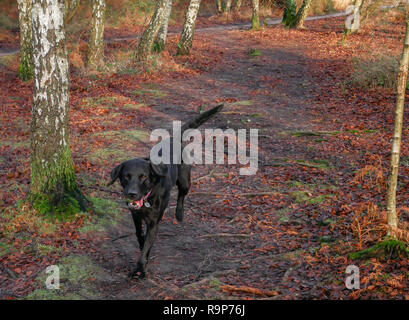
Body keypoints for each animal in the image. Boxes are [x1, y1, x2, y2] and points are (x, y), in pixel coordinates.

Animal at [107, 104, 223, 278]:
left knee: (182, 195)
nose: (131, 194)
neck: (147, 198)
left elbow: (146, 247)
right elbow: (139, 235)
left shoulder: (154, 222)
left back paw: (179, 214)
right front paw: (142, 247)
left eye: (143, 177)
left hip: (184, 179)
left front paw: (141, 269)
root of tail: (173, 139)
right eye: (126, 176)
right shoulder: (135, 215)